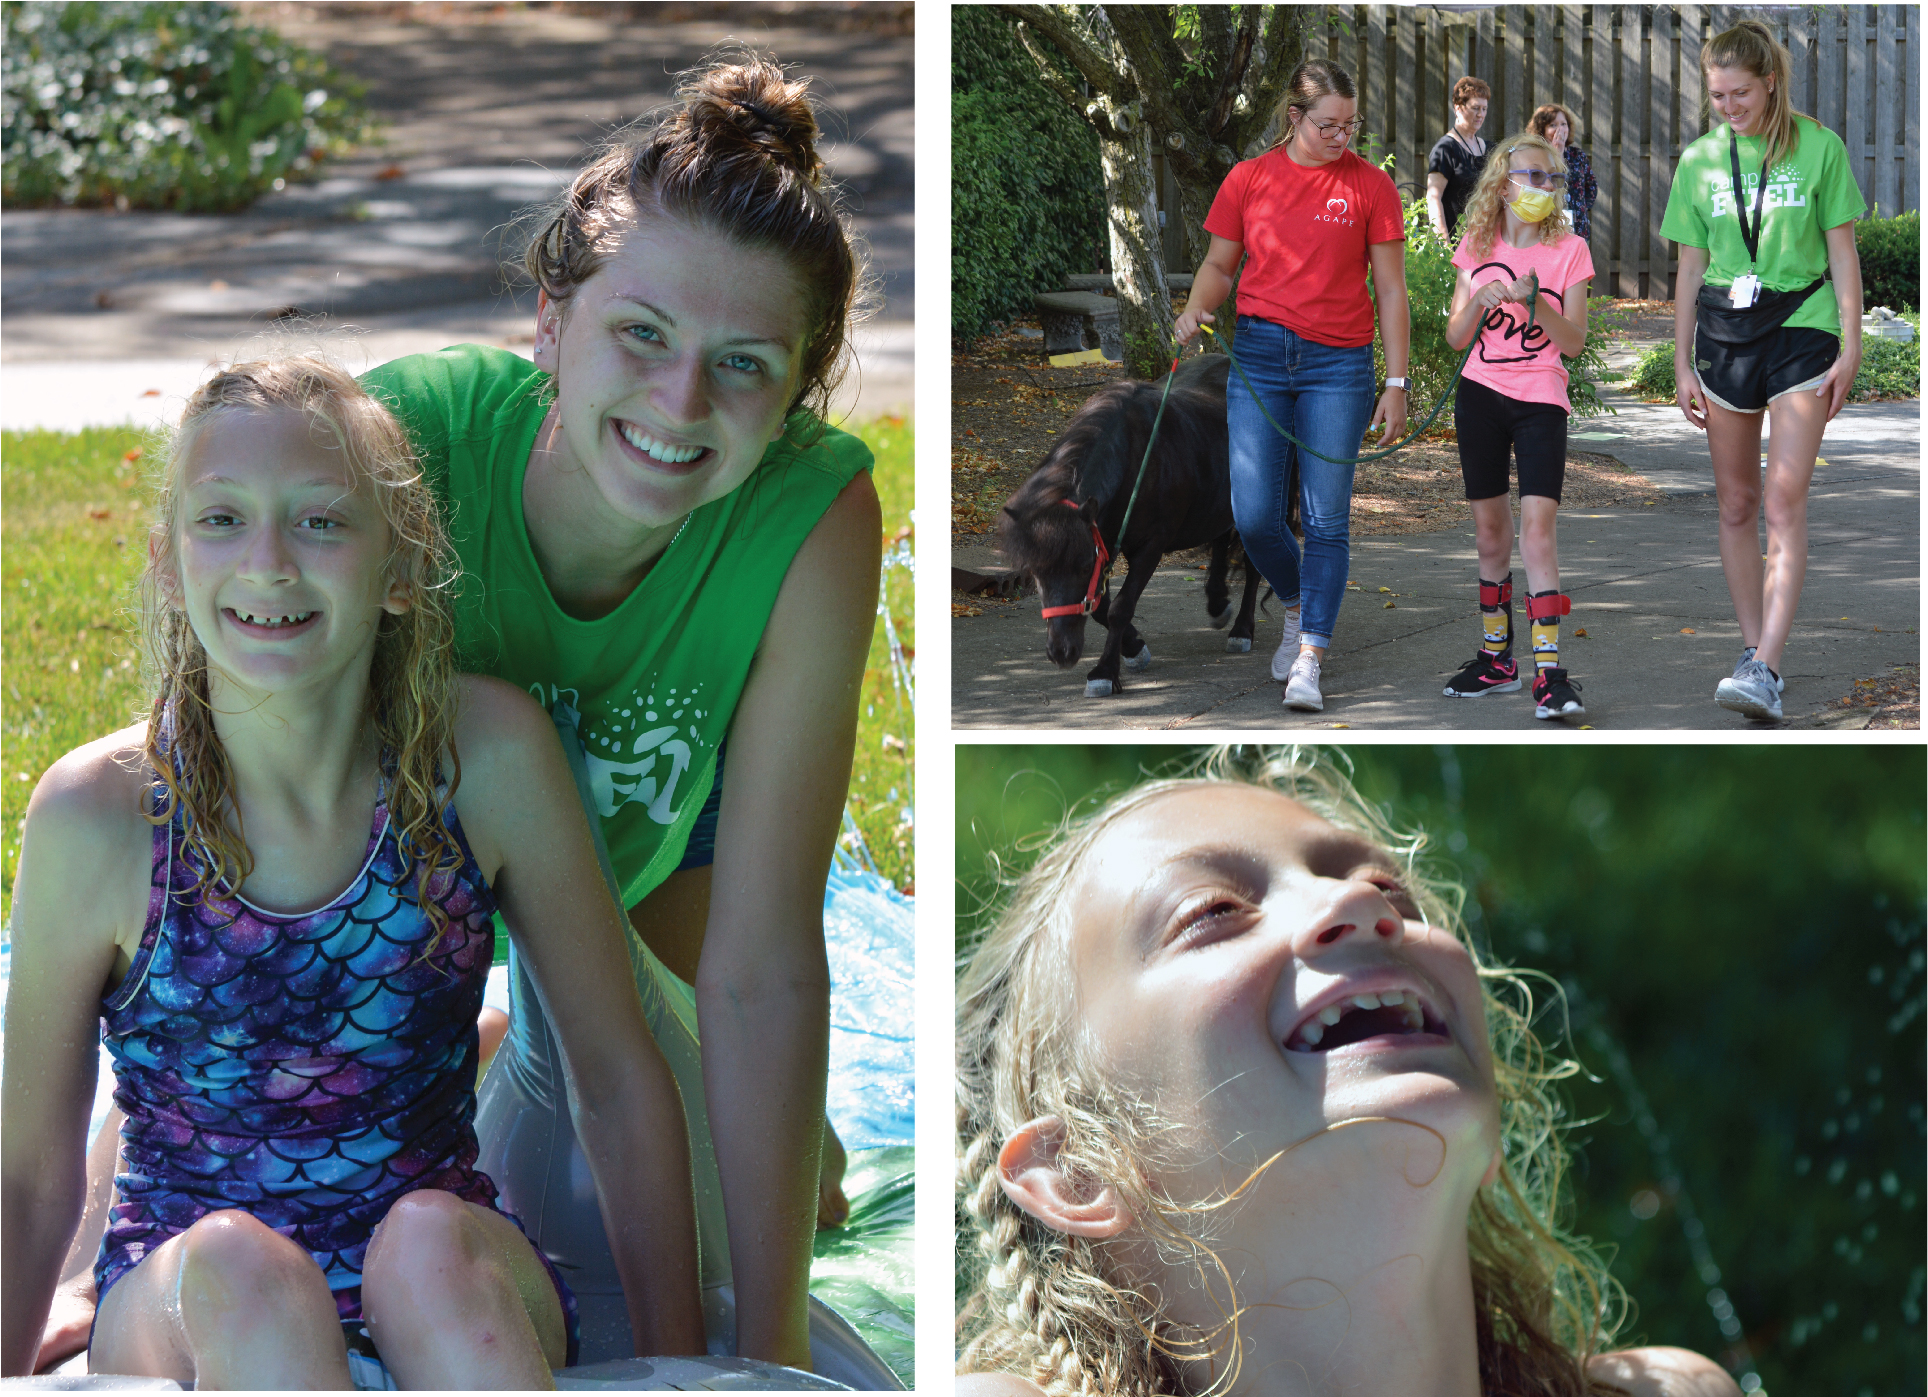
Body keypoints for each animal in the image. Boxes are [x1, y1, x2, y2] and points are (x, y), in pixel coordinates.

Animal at [1002, 354, 1257, 693]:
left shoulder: (1150, 546)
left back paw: (1243, 629)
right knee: (1220, 538)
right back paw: (1217, 602)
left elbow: (1120, 607)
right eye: (1035, 571)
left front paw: (1105, 672)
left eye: (1083, 567)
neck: (1135, 461)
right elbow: (1100, 606)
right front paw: (1134, 648)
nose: (1061, 653)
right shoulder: (1103, 539)